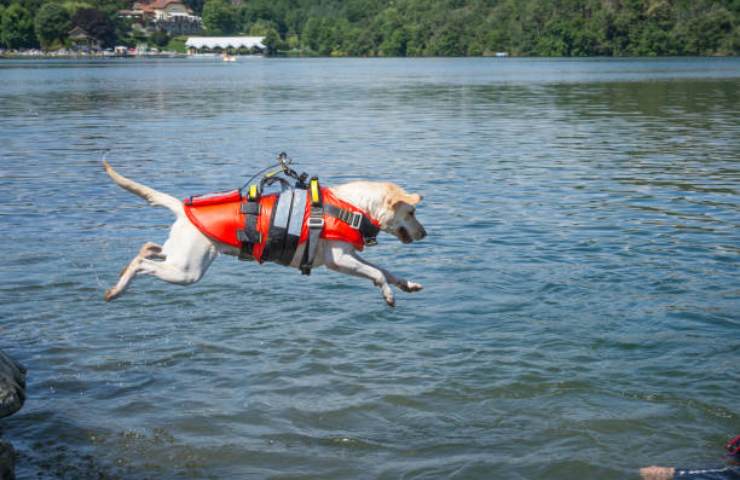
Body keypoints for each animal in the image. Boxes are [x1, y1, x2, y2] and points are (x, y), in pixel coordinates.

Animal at [104, 159, 428, 306]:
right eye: (412, 213)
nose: (425, 234)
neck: (352, 207)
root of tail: (182, 209)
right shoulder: (339, 260)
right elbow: (376, 274)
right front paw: (388, 294)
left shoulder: (349, 257)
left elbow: (384, 271)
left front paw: (406, 284)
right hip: (187, 271)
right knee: (142, 263)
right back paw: (116, 290)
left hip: (181, 257)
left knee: (148, 248)